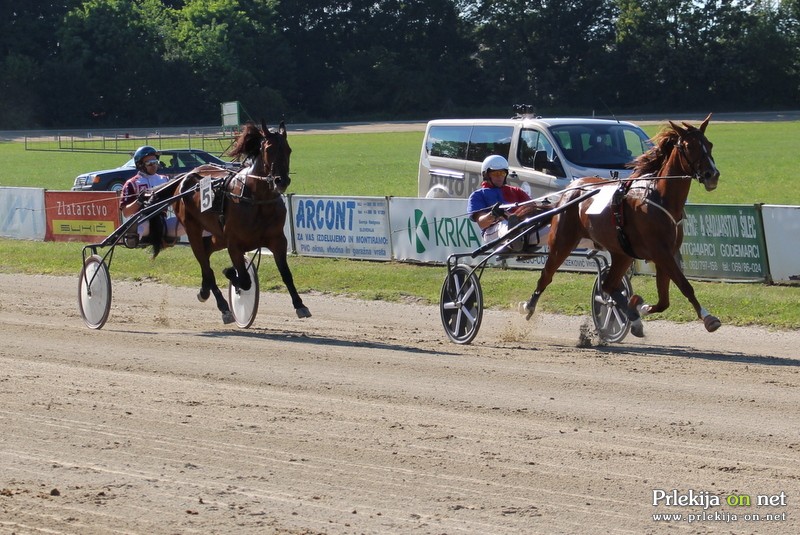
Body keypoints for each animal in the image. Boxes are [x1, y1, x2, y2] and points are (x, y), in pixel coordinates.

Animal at [155, 121, 310, 322]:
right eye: (268, 149)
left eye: (288, 149)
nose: (281, 180)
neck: (256, 199)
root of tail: (185, 177)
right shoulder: (234, 244)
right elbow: (244, 280)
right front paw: (229, 272)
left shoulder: (277, 240)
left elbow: (286, 274)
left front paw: (300, 305)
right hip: (193, 229)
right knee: (205, 263)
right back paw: (223, 306)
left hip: (218, 235)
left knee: (207, 253)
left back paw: (204, 290)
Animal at [524, 114, 720, 340]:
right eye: (689, 146)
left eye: (709, 144)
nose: (712, 174)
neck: (659, 196)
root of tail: (571, 189)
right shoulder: (660, 252)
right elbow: (685, 286)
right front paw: (708, 318)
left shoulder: (668, 253)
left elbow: (664, 300)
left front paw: (640, 306)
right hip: (561, 241)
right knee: (546, 275)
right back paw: (529, 306)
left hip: (622, 253)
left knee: (608, 285)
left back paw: (631, 316)